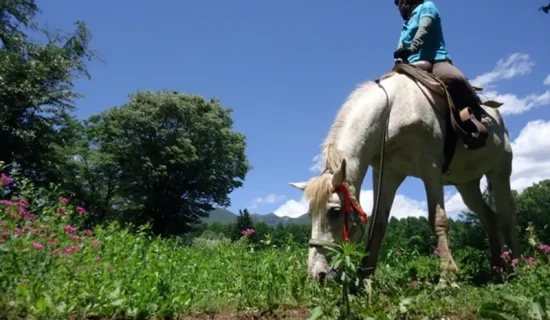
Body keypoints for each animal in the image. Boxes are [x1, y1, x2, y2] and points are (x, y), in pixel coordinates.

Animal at [294, 67, 520, 280]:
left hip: (500, 171)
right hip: (467, 184)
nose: (316, 274)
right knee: (490, 218)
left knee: (506, 218)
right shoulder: (387, 174)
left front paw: (447, 277)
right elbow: (378, 224)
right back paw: (497, 268)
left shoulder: (431, 169)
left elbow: (438, 219)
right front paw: (364, 277)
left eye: (334, 211)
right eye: (310, 214)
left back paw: (516, 267)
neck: (391, 112)